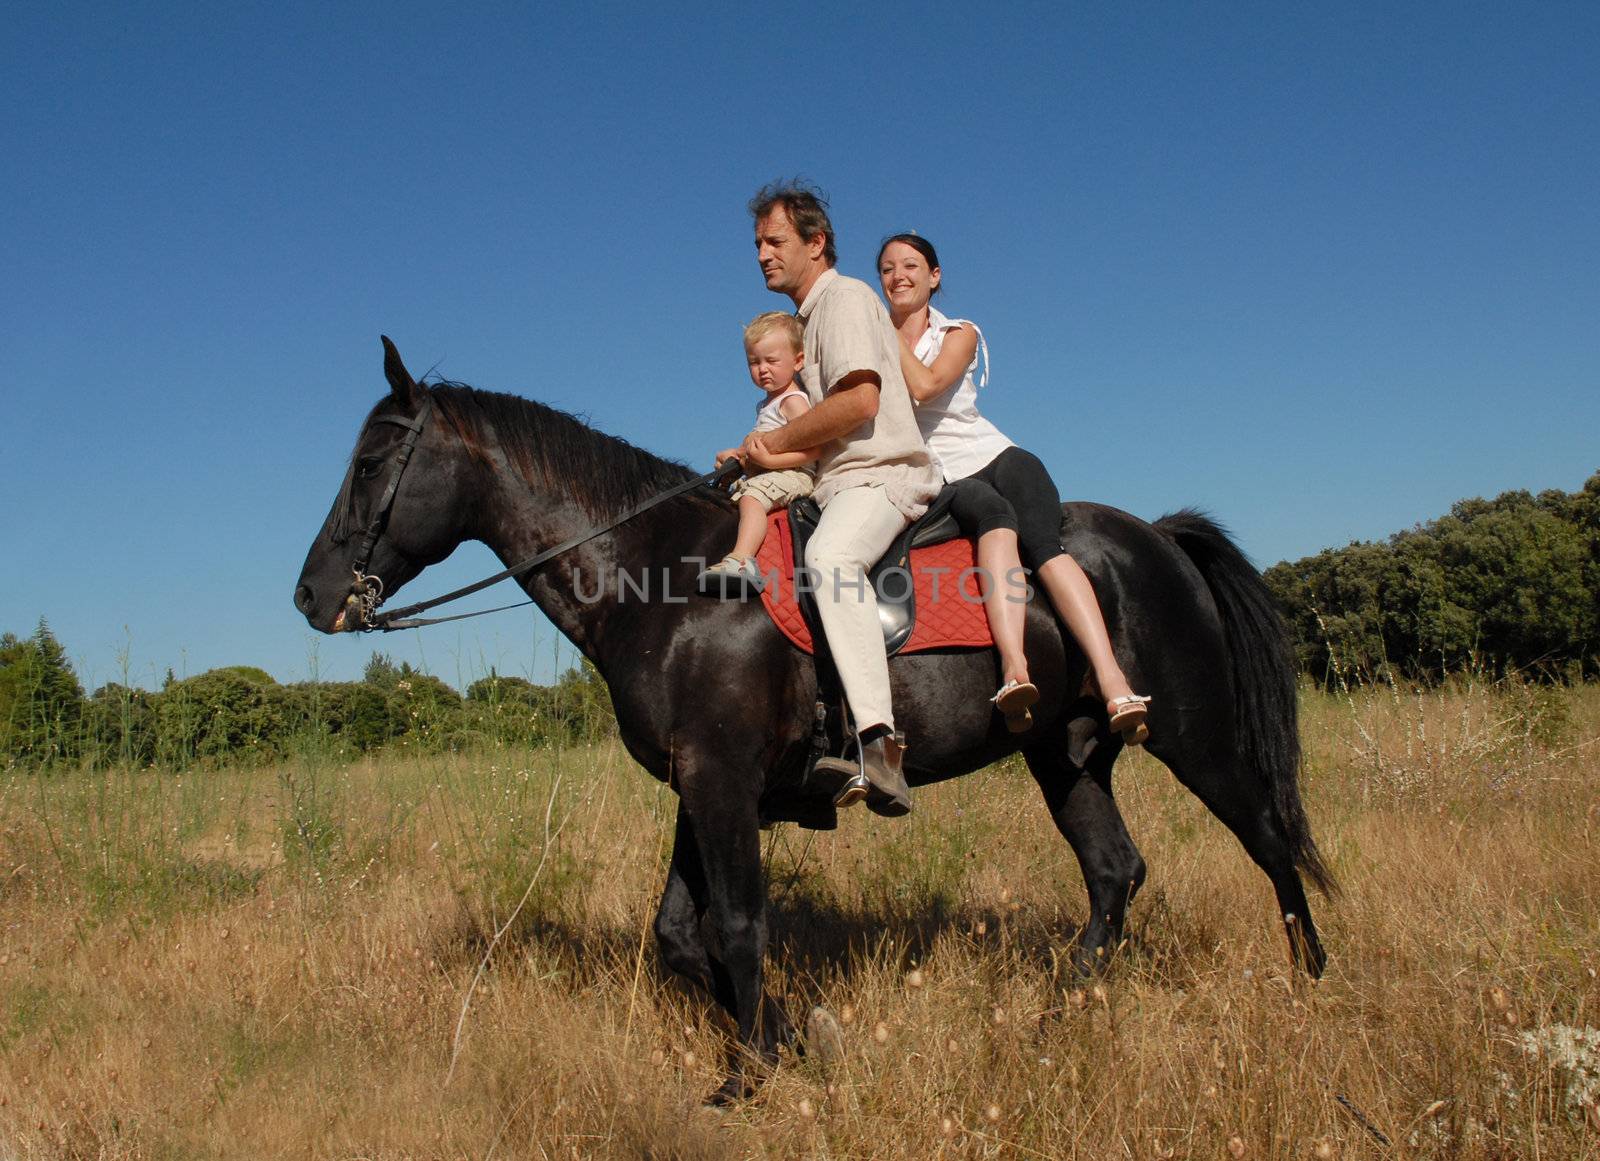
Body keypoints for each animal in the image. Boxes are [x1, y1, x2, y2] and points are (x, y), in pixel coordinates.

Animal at [294, 340, 1331, 1106]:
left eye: (373, 462)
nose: (310, 595)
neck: (668, 581)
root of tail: (1158, 537)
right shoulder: (703, 782)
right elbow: (681, 935)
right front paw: (797, 1035)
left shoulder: (721, 781)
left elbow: (738, 925)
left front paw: (748, 1074)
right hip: (1063, 754)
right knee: (1115, 872)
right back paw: (1054, 1021)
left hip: (1195, 732)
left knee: (1269, 840)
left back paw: (1313, 983)